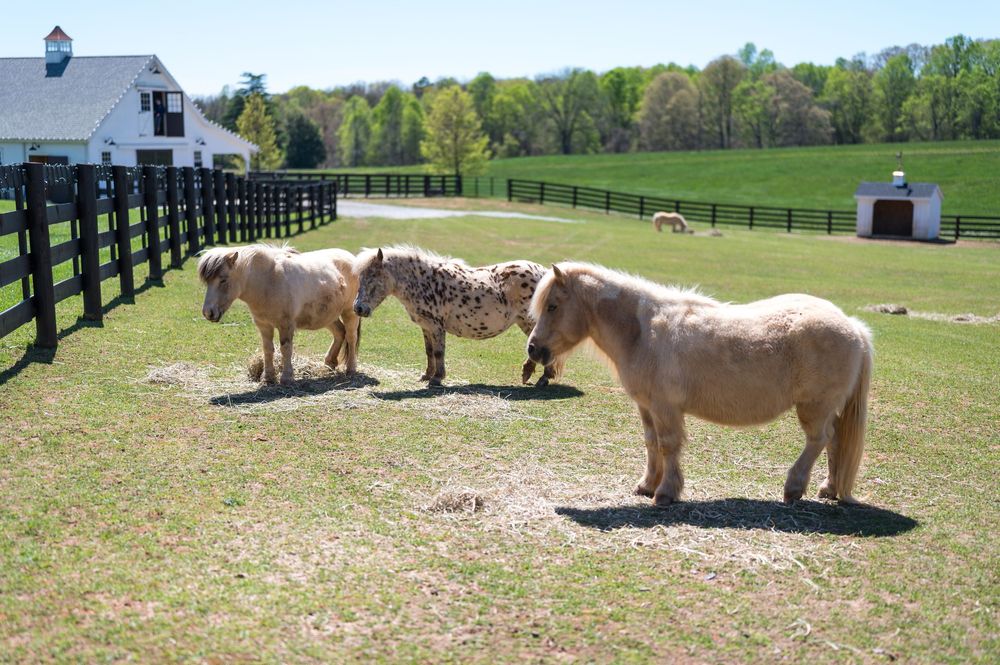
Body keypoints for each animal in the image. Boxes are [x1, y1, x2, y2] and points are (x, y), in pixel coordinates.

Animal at [198, 244, 361, 385]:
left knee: (351, 337)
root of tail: (351, 259)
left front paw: (287, 377)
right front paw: (268, 377)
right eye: (207, 282)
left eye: (223, 280)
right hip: (328, 316)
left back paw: (351, 368)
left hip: (349, 312)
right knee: (339, 332)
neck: (268, 280)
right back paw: (329, 363)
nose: (208, 312)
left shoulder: (286, 325)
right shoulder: (264, 325)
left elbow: (285, 349)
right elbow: (268, 349)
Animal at [352, 245, 566, 387]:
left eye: (373, 277)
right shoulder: (426, 326)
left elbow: (439, 352)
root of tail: (544, 273)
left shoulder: (436, 327)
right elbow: (429, 352)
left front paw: (437, 378)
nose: (358, 309)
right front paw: (426, 375)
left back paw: (540, 377)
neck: (423, 281)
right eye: (360, 278)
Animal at [526, 262, 873, 506]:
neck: (642, 332)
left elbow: (668, 445)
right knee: (834, 442)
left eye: (553, 305)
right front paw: (647, 485)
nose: (533, 349)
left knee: (819, 440)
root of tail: (853, 326)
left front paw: (665, 492)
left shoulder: (666, 408)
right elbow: (651, 443)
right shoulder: (647, 407)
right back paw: (828, 488)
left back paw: (794, 488)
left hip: (814, 408)